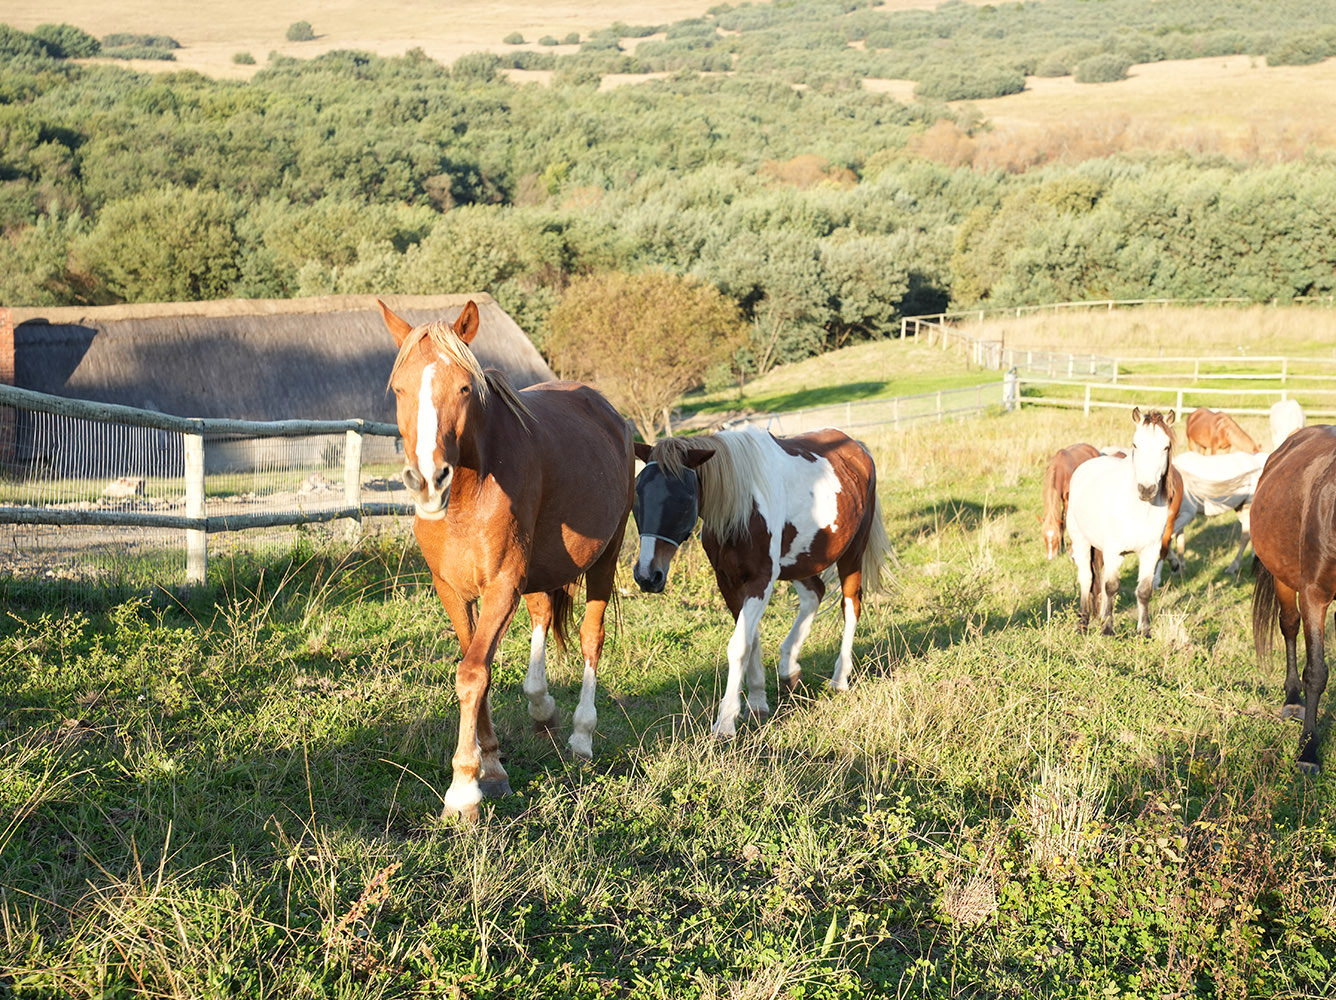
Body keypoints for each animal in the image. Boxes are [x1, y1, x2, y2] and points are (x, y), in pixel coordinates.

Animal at [379, 299, 634, 819]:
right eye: (399, 388)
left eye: (463, 387)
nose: (428, 480)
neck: (467, 496)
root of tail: (608, 411)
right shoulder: (452, 591)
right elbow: (479, 670)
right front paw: (493, 767)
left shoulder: (500, 586)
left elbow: (472, 673)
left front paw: (463, 789)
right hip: (541, 571)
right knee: (542, 616)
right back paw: (542, 709)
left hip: (605, 558)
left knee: (591, 638)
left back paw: (581, 737)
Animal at [631, 425, 890, 738]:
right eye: (638, 494)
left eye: (683, 500)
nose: (648, 575)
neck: (741, 507)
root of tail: (857, 447)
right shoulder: (728, 582)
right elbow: (750, 641)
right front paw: (756, 704)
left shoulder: (761, 581)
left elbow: (739, 646)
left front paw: (725, 721)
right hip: (801, 561)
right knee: (814, 594)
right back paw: (789, 668)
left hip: (852, 553)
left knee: (851, 606)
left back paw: (840, 679)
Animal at [1066, 408, 1181, 636]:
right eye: (1135, 444)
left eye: (1165, 446)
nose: (1146, 489)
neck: (1139, 510)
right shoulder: (1113, 550)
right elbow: (1111, 586)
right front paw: (1108, 630)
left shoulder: (1150, 551)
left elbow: (1144, 590)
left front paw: (1144, 631)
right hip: (1081, 540)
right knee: (1087, 578)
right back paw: (1083, 623)